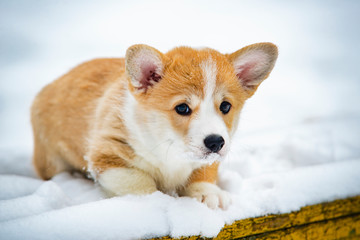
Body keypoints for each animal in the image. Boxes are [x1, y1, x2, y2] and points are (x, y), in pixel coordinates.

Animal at [31, 42, 278, 208]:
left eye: (225, 106)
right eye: (182, 108)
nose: (216, 142)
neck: (169, 147)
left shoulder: (208, 159)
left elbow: (203, 172)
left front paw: (208, 194)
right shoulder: (108, 155)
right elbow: (138, 182)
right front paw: (154, 201)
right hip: (51, 160)